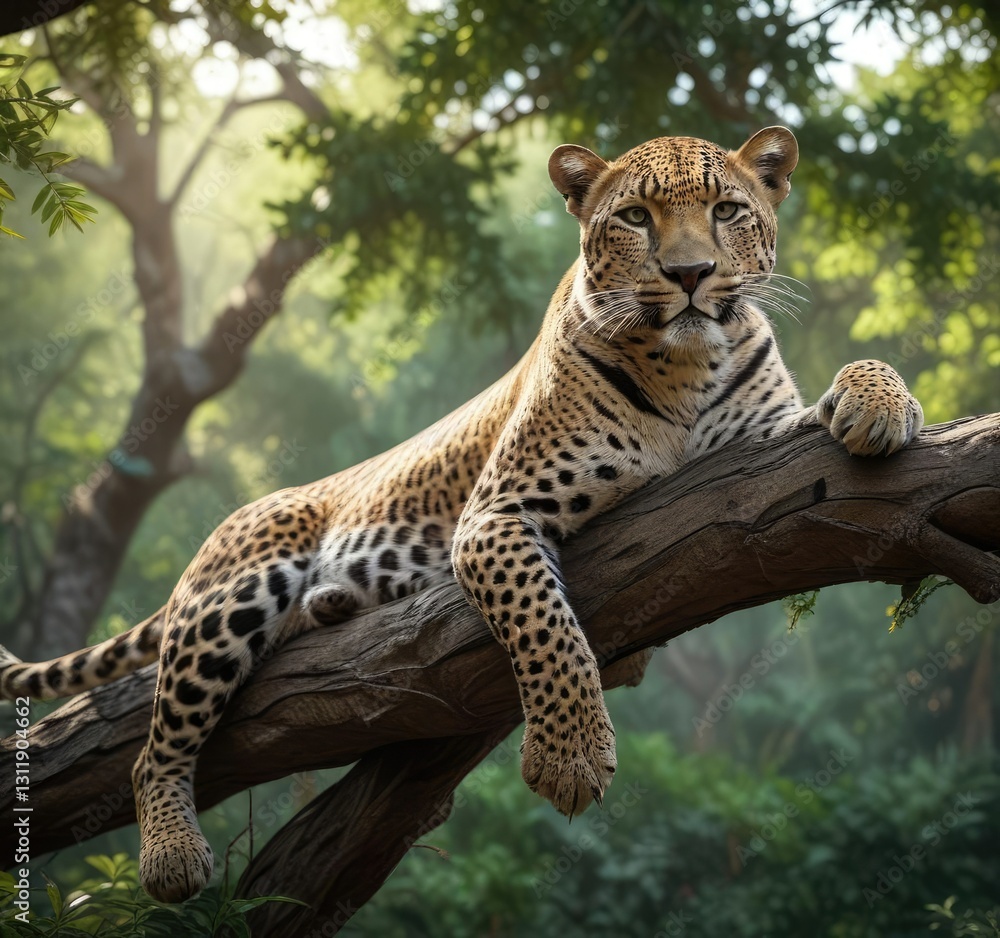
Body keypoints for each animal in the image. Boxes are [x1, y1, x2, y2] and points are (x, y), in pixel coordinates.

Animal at [0, 126, 923, 903]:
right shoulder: (498, 515)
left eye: (727, 210)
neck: (687, 365)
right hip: (231, 596)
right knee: (153, 749)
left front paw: (881, 403)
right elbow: (547, 626)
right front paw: (568, 757)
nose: (691, 274)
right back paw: (171, 856)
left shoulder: (763, 440)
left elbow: (858, 372)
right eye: (635, 217)